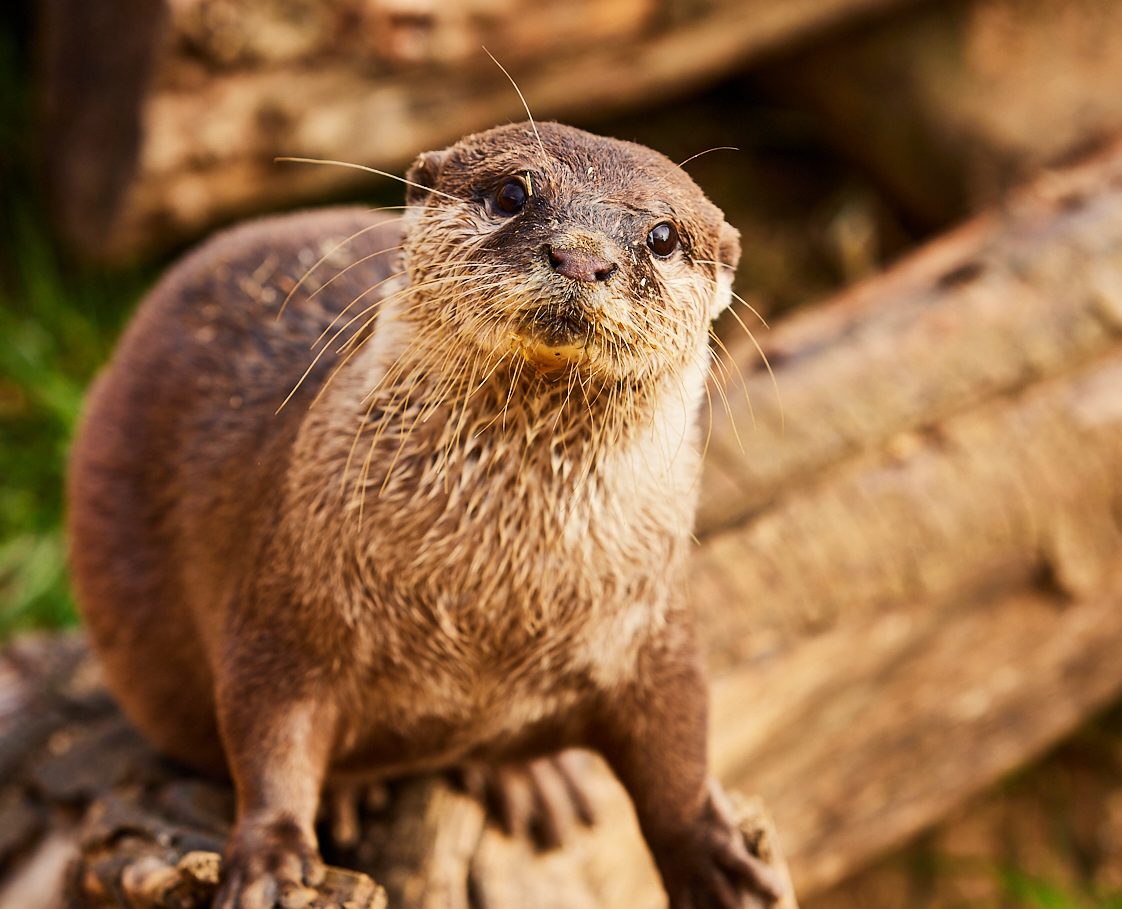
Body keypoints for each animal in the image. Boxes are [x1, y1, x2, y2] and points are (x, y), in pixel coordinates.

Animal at [70, 122, 785, 906]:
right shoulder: (282, 606)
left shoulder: (653, 626)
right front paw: (271, 860)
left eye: (662, 235)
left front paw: (718, 860)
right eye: (512, 193)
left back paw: (536, 777)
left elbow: (679, 747)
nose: (580, 255)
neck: (484, 603)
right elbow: (268, 735)